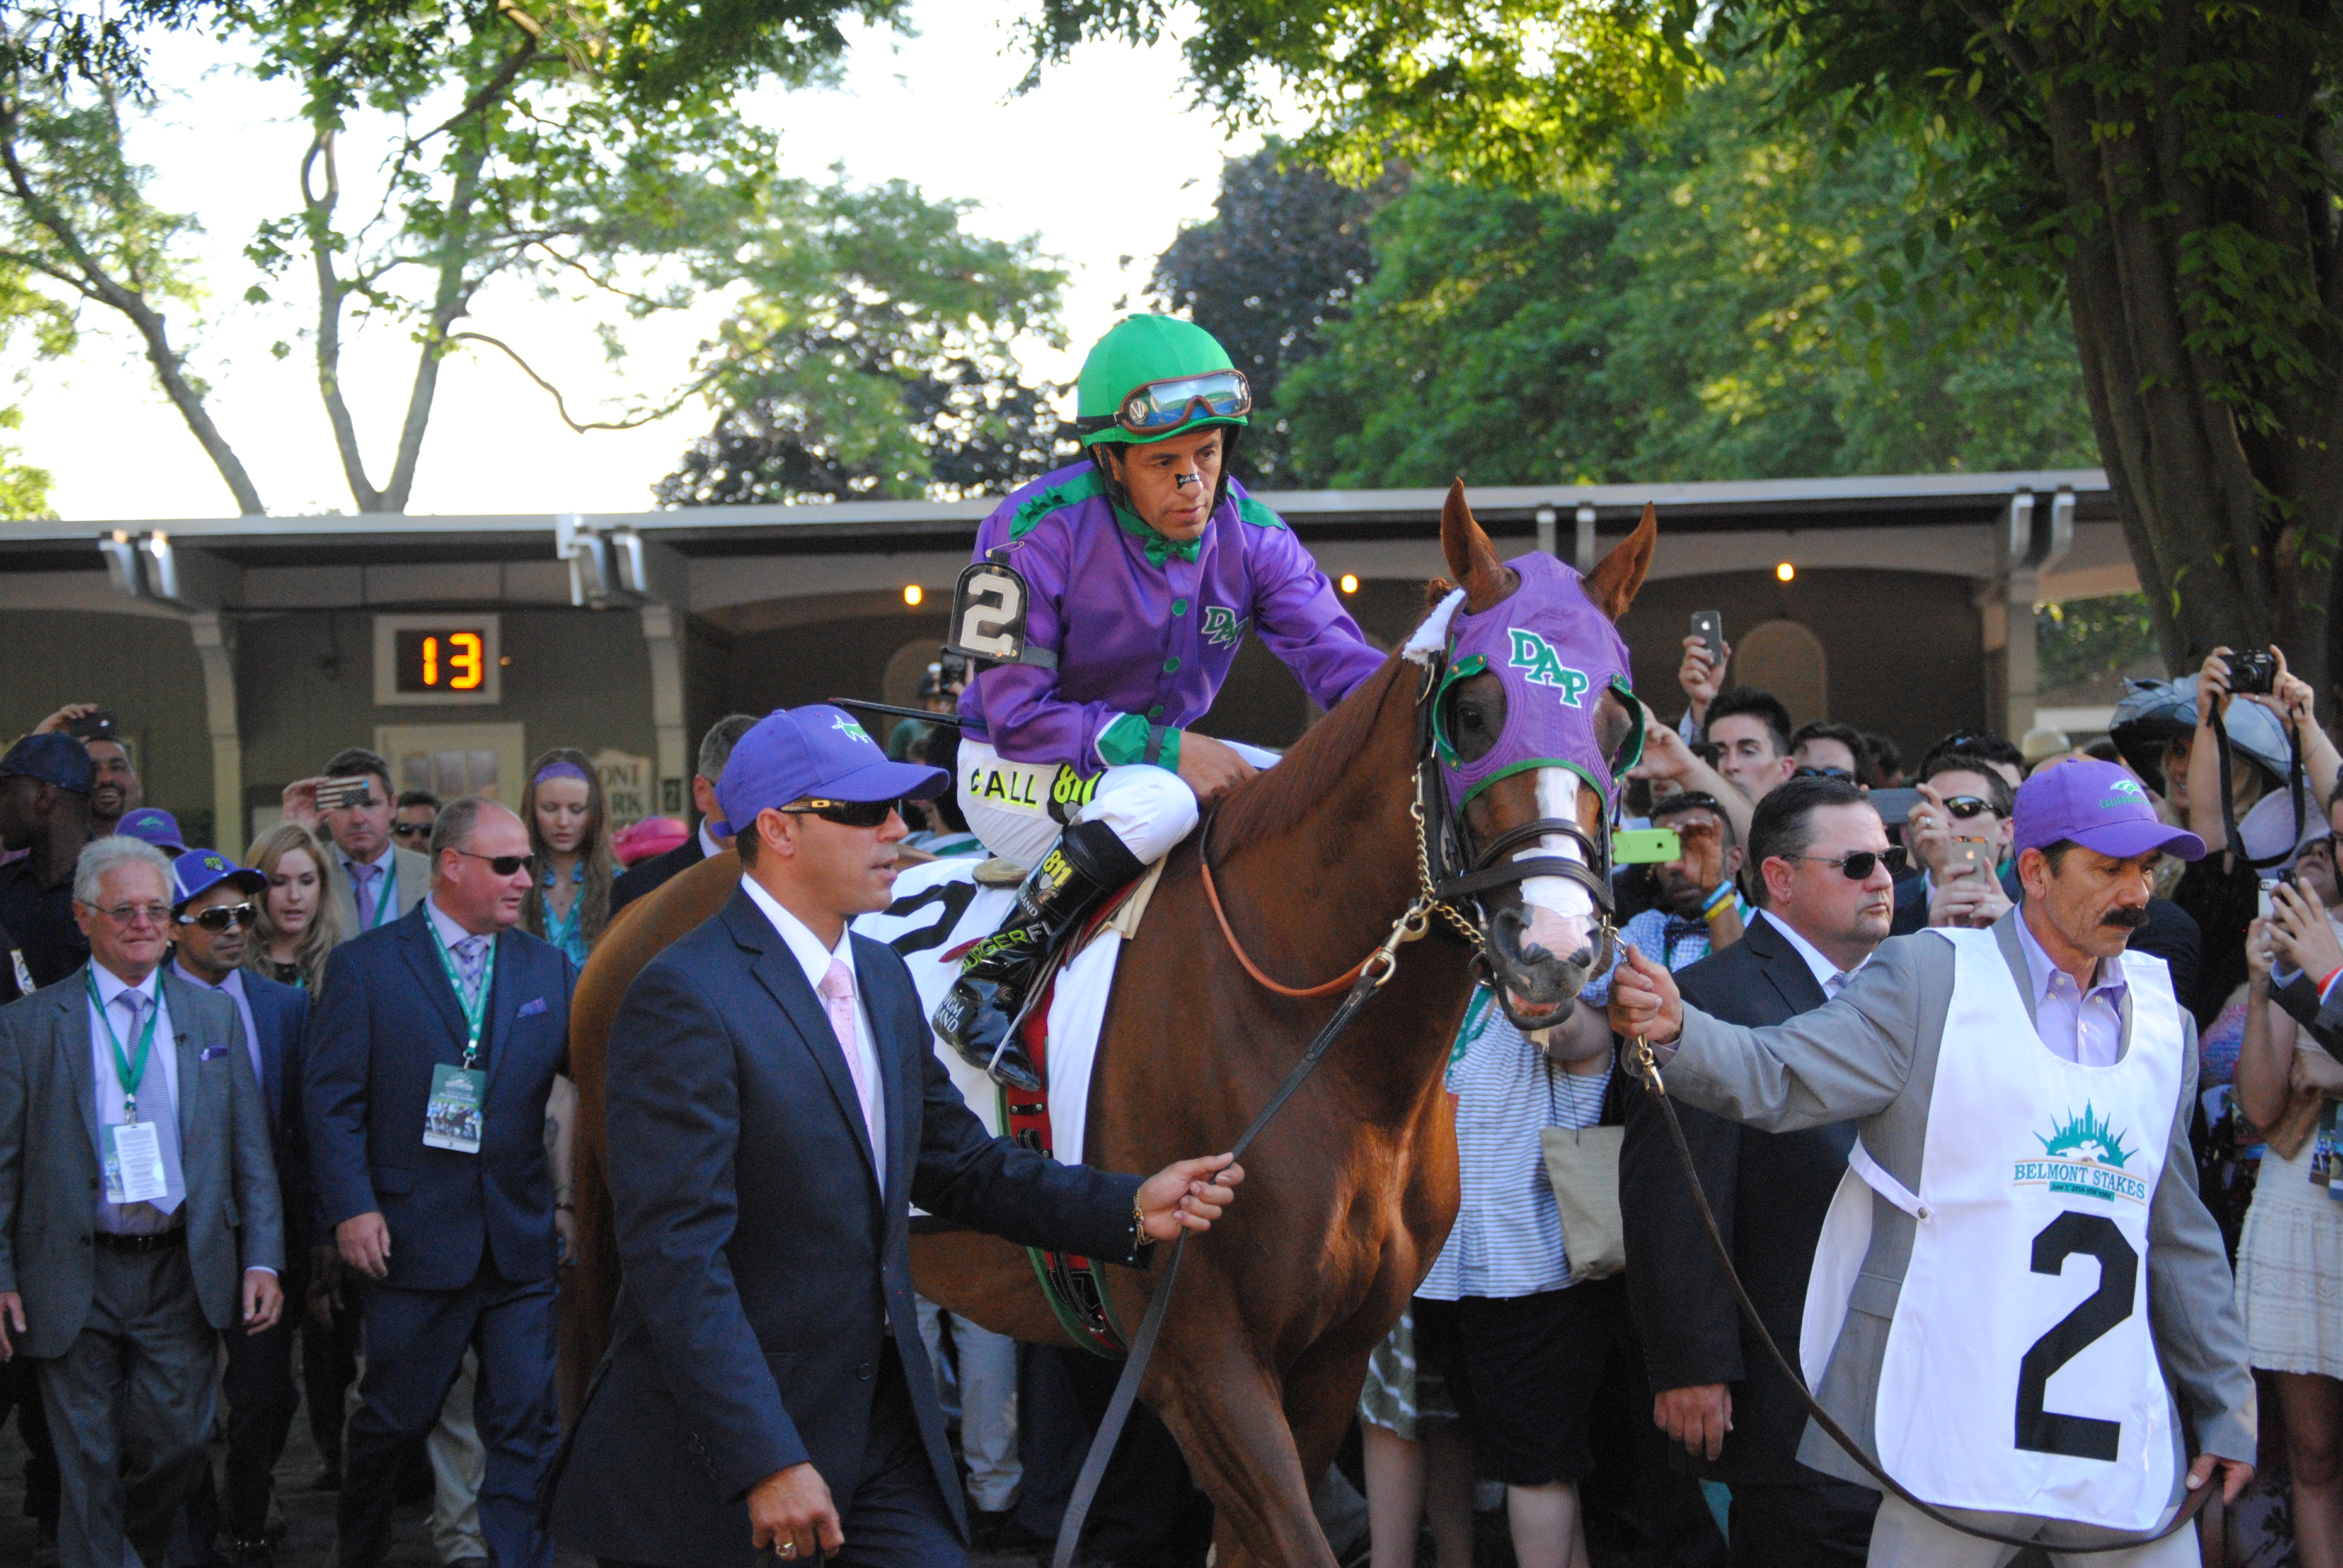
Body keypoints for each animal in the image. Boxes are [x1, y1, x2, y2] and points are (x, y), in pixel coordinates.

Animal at [562, 483, 1668, 1556]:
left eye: (1620, 724)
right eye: (1473, 710)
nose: (1558, 940)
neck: (1314, 1043)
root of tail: (640, 914)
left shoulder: (1331, 1361)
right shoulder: (1202, 1361)